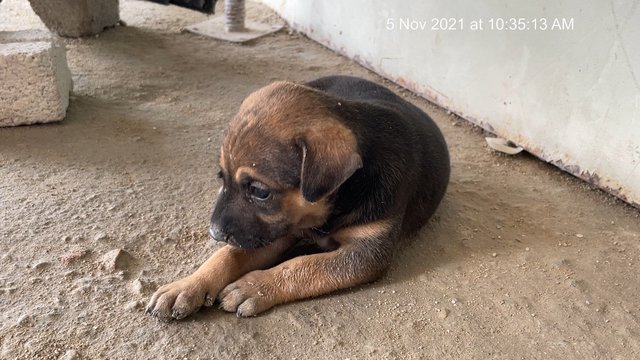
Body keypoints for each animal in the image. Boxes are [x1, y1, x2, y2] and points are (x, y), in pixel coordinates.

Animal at [148, 74, 450, 320]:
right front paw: (187, 286)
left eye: (260, 192)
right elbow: (229, 255)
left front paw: (254, 287)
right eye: (221, 178)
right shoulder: (275, 229)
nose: (214, 233)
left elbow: (303, 266)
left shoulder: (367, 252)